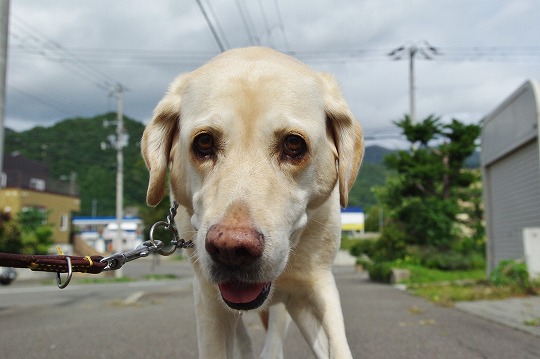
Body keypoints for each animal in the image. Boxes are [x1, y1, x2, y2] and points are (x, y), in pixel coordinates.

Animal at [141, 46, 364, 358]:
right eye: (204, 142)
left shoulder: (317, 284)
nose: (232, 249)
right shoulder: (208, 299)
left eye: (294, 144)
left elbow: (337, 346)